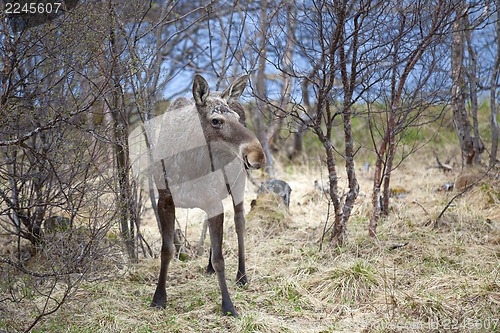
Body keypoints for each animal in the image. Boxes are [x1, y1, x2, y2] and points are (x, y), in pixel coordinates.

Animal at [133, 74, 266, 316]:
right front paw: (159, 298)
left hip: (238, 183)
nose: (257, 155)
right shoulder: (165, 200)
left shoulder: (213, 201)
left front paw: (228, 306)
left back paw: (242, 275)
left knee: (240, 221)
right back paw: (210, 267)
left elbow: (221, 257)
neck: (188, 165)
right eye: (216, 120)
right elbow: (167, 250)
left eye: (235, 118)